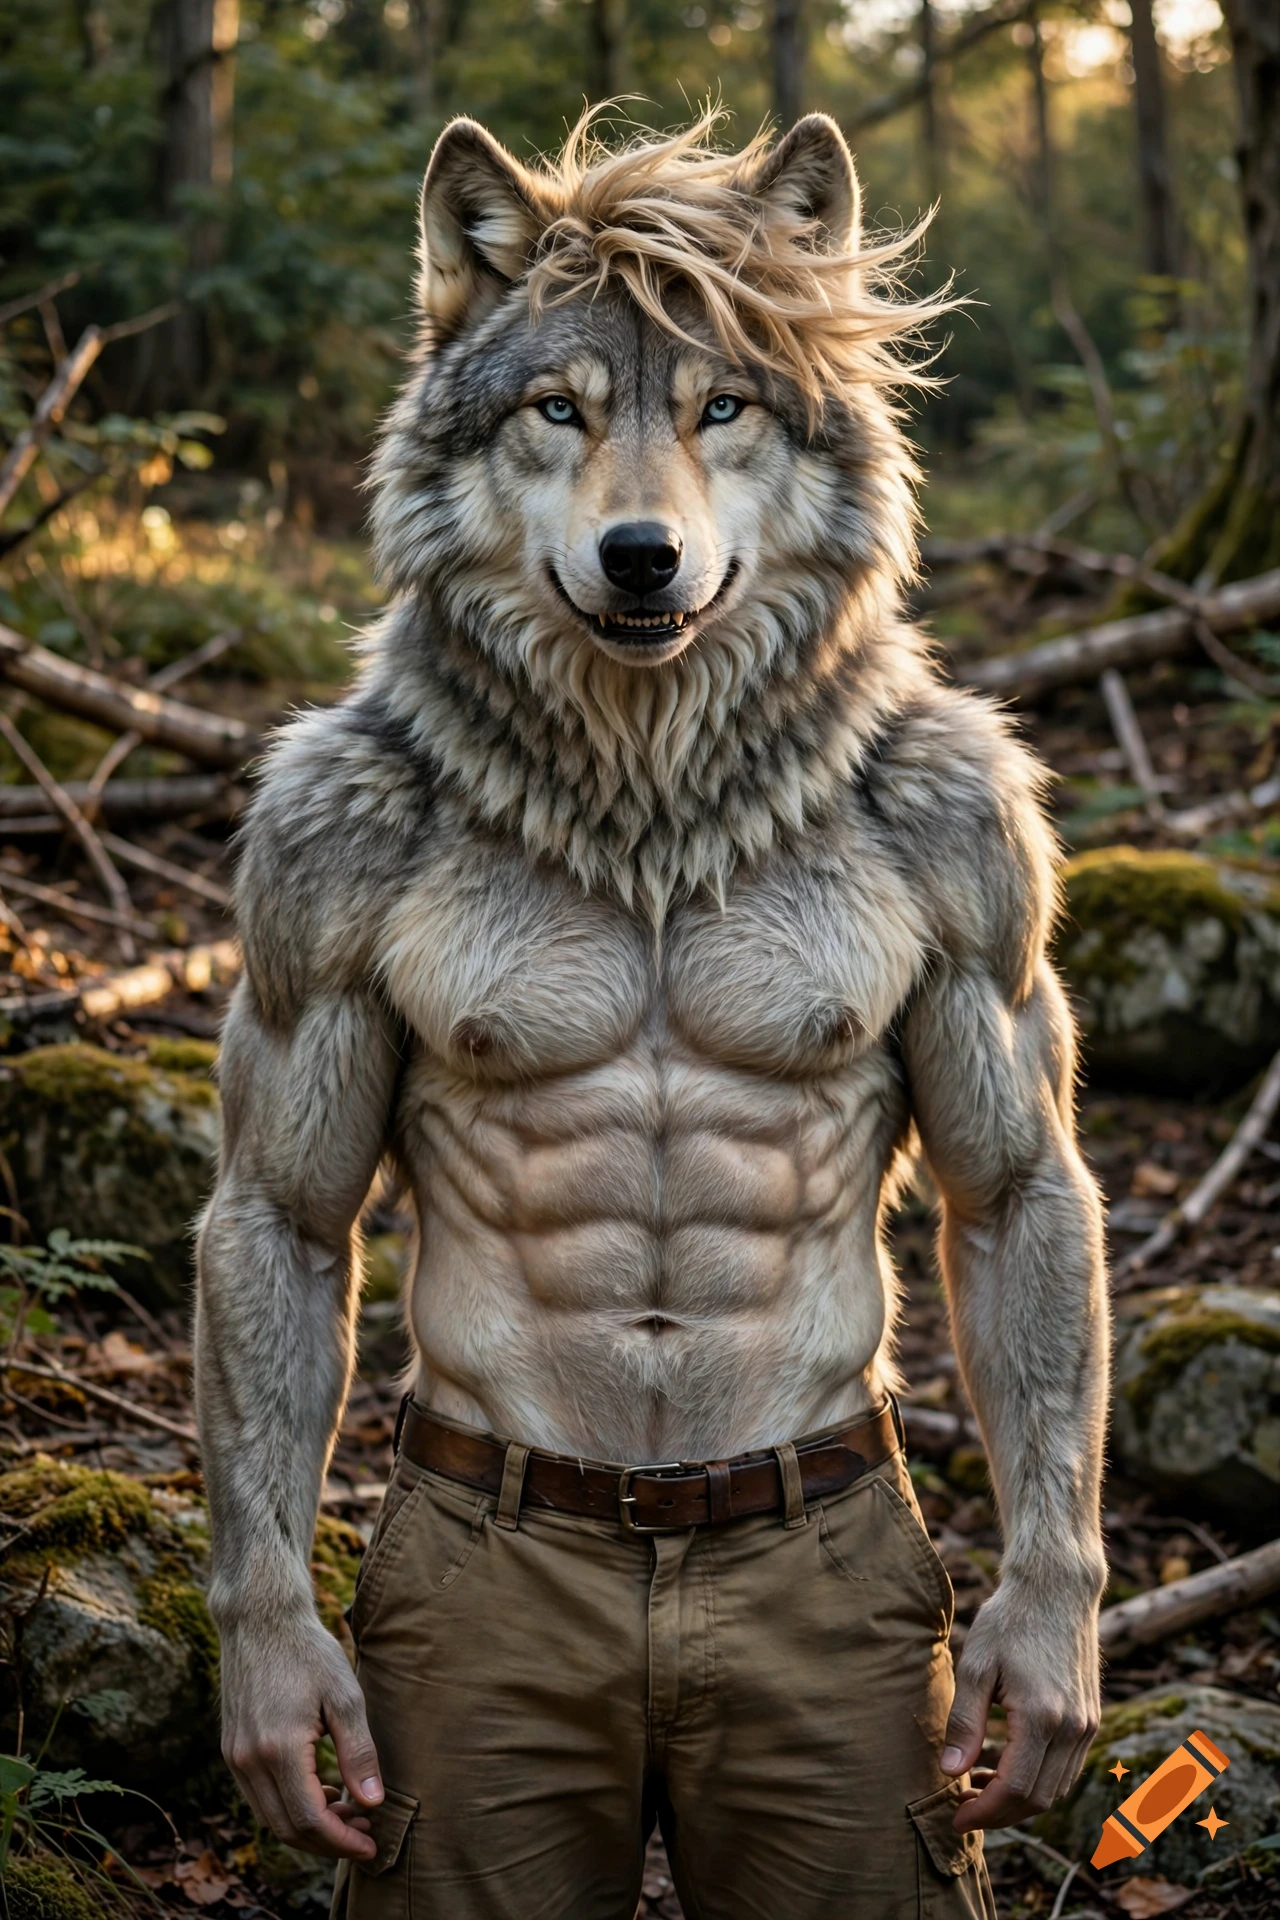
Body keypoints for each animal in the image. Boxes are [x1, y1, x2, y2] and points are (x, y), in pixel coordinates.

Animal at [195, 109, 1109, 1920]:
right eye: (559, 409)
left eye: (722, 407)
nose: (640, 555)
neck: (651, 786)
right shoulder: (311, 854)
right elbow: (286, 1208)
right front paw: (276, 1685)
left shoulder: (975, 846)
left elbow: (1009, 1184)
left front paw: (1040, 1655)